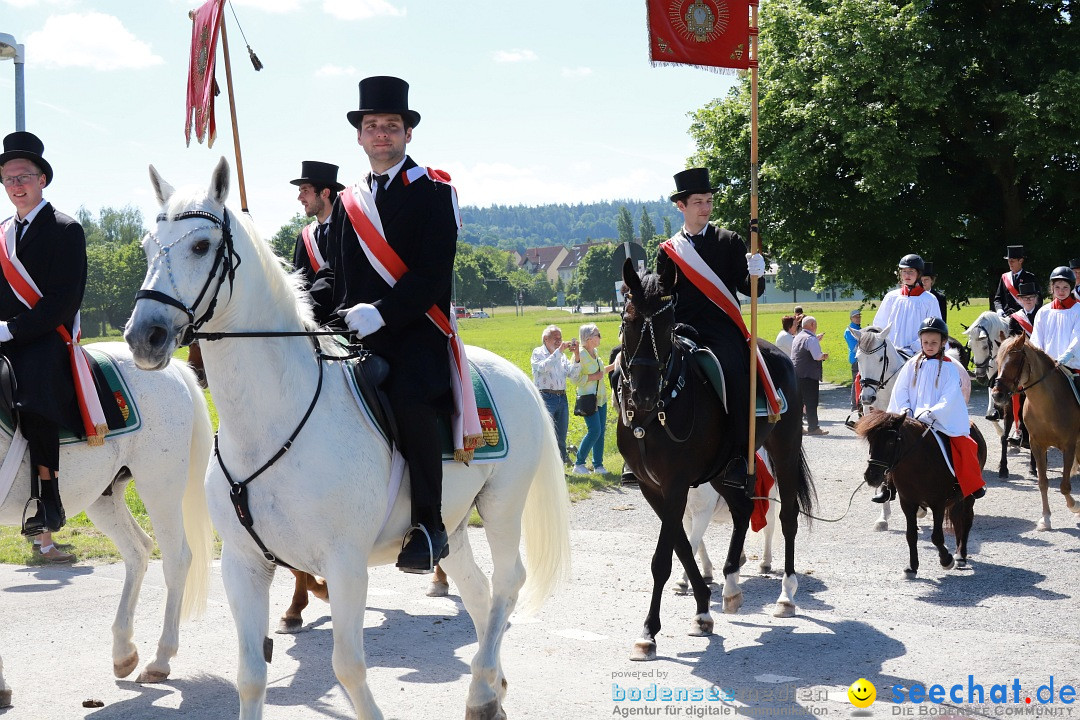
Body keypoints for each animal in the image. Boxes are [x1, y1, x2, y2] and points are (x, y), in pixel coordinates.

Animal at [0, 345, 212, 686]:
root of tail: (173, 368)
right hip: (103, 497)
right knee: (138, 551)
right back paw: (123, 651)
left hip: (159, 485)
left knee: (176, 559)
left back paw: (160, 659)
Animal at [122, 158, 570, 720]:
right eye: (145, 246)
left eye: (202, 245)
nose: (144, 337)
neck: (269, 420)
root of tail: (517, 376)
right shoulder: (244, 567)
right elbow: (250, 676)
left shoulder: (346, 564)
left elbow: (349, 667)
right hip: (453, 523)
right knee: (480, 591)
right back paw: (491, 687)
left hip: (503, 505)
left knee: (509, 583)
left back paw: (482, 692)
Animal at [613, 260, 812, 664]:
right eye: (627, 319)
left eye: (667, 324)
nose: (643, 394)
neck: (657, 412)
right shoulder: (653, 488)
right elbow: (683, 545)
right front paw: (703, 611)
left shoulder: (675, 485)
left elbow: (664, 557)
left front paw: (648, 633)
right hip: (722, 469)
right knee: (742, 509)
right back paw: (732, 584)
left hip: (783, 450)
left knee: (785, 518)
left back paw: (785, 595)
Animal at [859, 414, 989, 578]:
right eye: (871, 440)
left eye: (890, 442)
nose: (871, 476)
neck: (917, 464)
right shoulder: (907, 503)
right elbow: (911, 535)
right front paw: (912, 567)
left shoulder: (938, 503)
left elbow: (937, 537)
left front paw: (946, 560)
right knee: (956, 518)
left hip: (968, 495)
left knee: (966, 519)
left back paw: (960, 556)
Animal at [989, 334, 1080, 528]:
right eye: (998, 361)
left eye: (1015, 361)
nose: (997, 395)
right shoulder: (1037, 445)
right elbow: (1042, 483)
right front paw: (1045, 519)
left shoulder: (1068, 446)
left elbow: (1064, 486)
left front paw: (1074, 506)